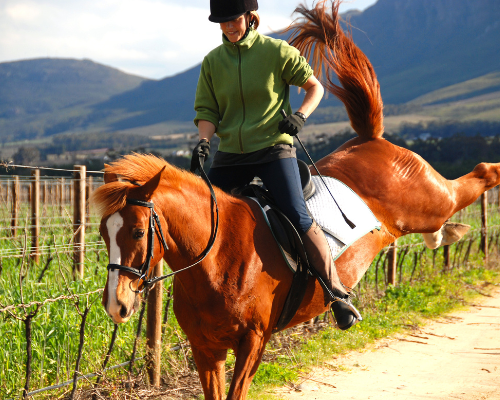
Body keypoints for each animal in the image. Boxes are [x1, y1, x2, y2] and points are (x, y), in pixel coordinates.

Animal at [92, 1, 498, 398]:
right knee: (442, 223)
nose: (116, 305)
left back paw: (489, 175)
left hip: (429, 199)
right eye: (102, 234)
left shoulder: (253, 342)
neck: (218, 256)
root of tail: (369, 140)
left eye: (138, 233)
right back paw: (448, 234)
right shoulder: (205, 349)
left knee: (472, 181)